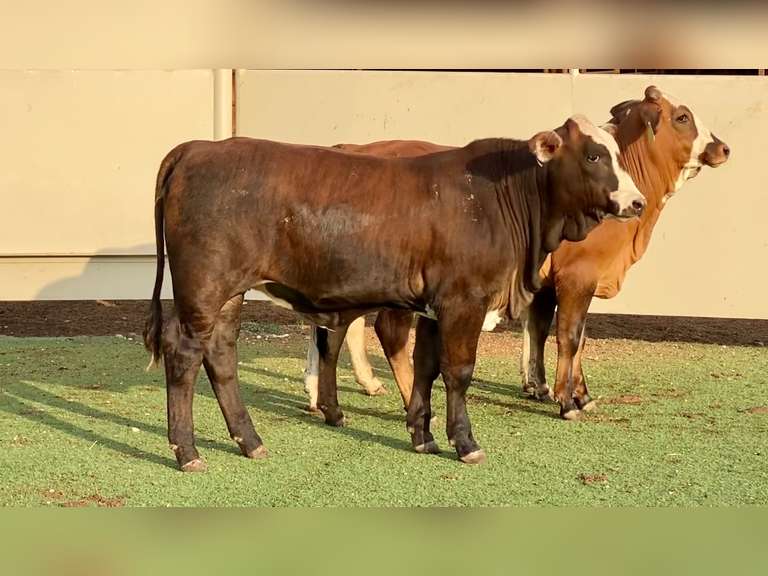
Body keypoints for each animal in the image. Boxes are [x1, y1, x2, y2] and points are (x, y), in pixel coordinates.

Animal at [143, 115, 645, 471]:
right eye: (593, 156)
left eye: (618, 154)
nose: (636, 202)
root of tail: (199, 147)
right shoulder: (463, 300)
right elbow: (457, 371)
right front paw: (465, 442)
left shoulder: (434, 307)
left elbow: (425, 367)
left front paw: (423, 435)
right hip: (203, 289)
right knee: (184, 356)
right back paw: (187, 451)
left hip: (228, 294)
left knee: (221, 357)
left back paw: (250, 442)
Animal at [306, 86, 730, 420]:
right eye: (682, 117)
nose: (723, 147)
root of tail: (353, 149)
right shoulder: (578, 276)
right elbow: (570, 336)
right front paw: (569, 400)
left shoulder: (548, 281)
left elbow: (545, 330)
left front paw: (546, 387)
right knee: (385, 331)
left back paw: (330, 390)